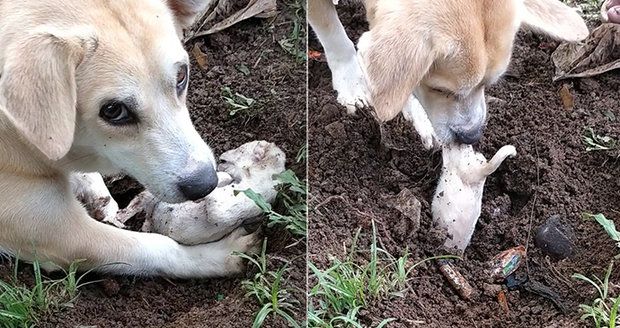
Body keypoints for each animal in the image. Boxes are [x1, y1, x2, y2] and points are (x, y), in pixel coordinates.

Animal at [0, 0, 262, 278]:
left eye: (182, 75)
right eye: (113, 110)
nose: (205, 184)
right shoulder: (57, 233)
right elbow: (160, 248)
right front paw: (218, 256)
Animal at [312, 0, 588, 145]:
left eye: (488, 85)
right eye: (440, 89)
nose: (472, 136)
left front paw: (419, 116)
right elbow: (329, 28)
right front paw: (351, 82)